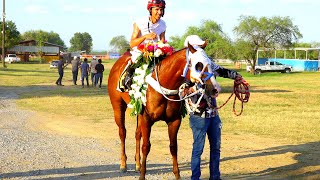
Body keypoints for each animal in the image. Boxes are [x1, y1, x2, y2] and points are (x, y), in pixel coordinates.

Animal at [107, 43, 198, 179]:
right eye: (199, 64)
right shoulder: (147, 119)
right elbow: (146, 146)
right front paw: (142, 176)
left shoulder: (174, 120)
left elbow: (173, 147)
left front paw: (177, 175)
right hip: (118, 106)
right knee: (122, 132)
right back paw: (123, 164)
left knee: (137, 134)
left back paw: (138, 165)